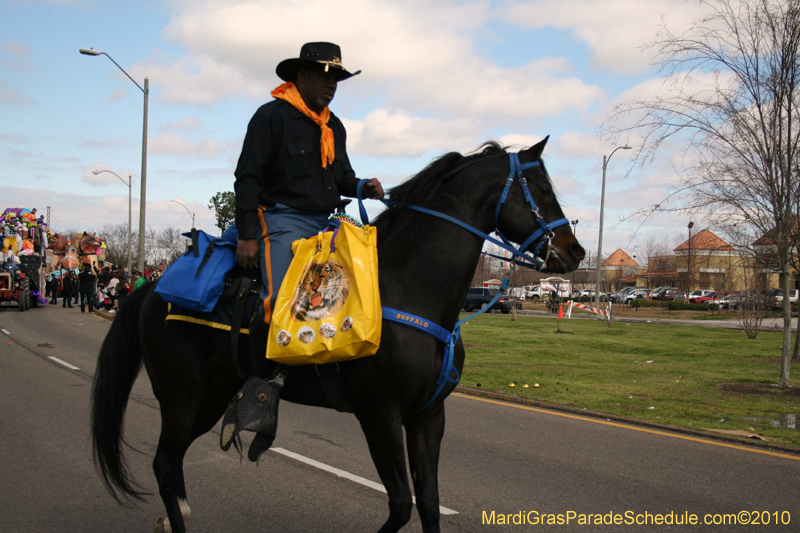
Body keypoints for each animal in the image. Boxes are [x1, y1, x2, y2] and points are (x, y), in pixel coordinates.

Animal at [90, 138, 584, 532]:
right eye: (542, 189)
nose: (575, 251)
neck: (408, 286)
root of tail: (152, 287)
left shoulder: (428, 415)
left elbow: (427, 502)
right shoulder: (380, 415)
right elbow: (400, 504)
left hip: (211, 395)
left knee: (170, 465)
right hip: (184, 398)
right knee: (163, 463)